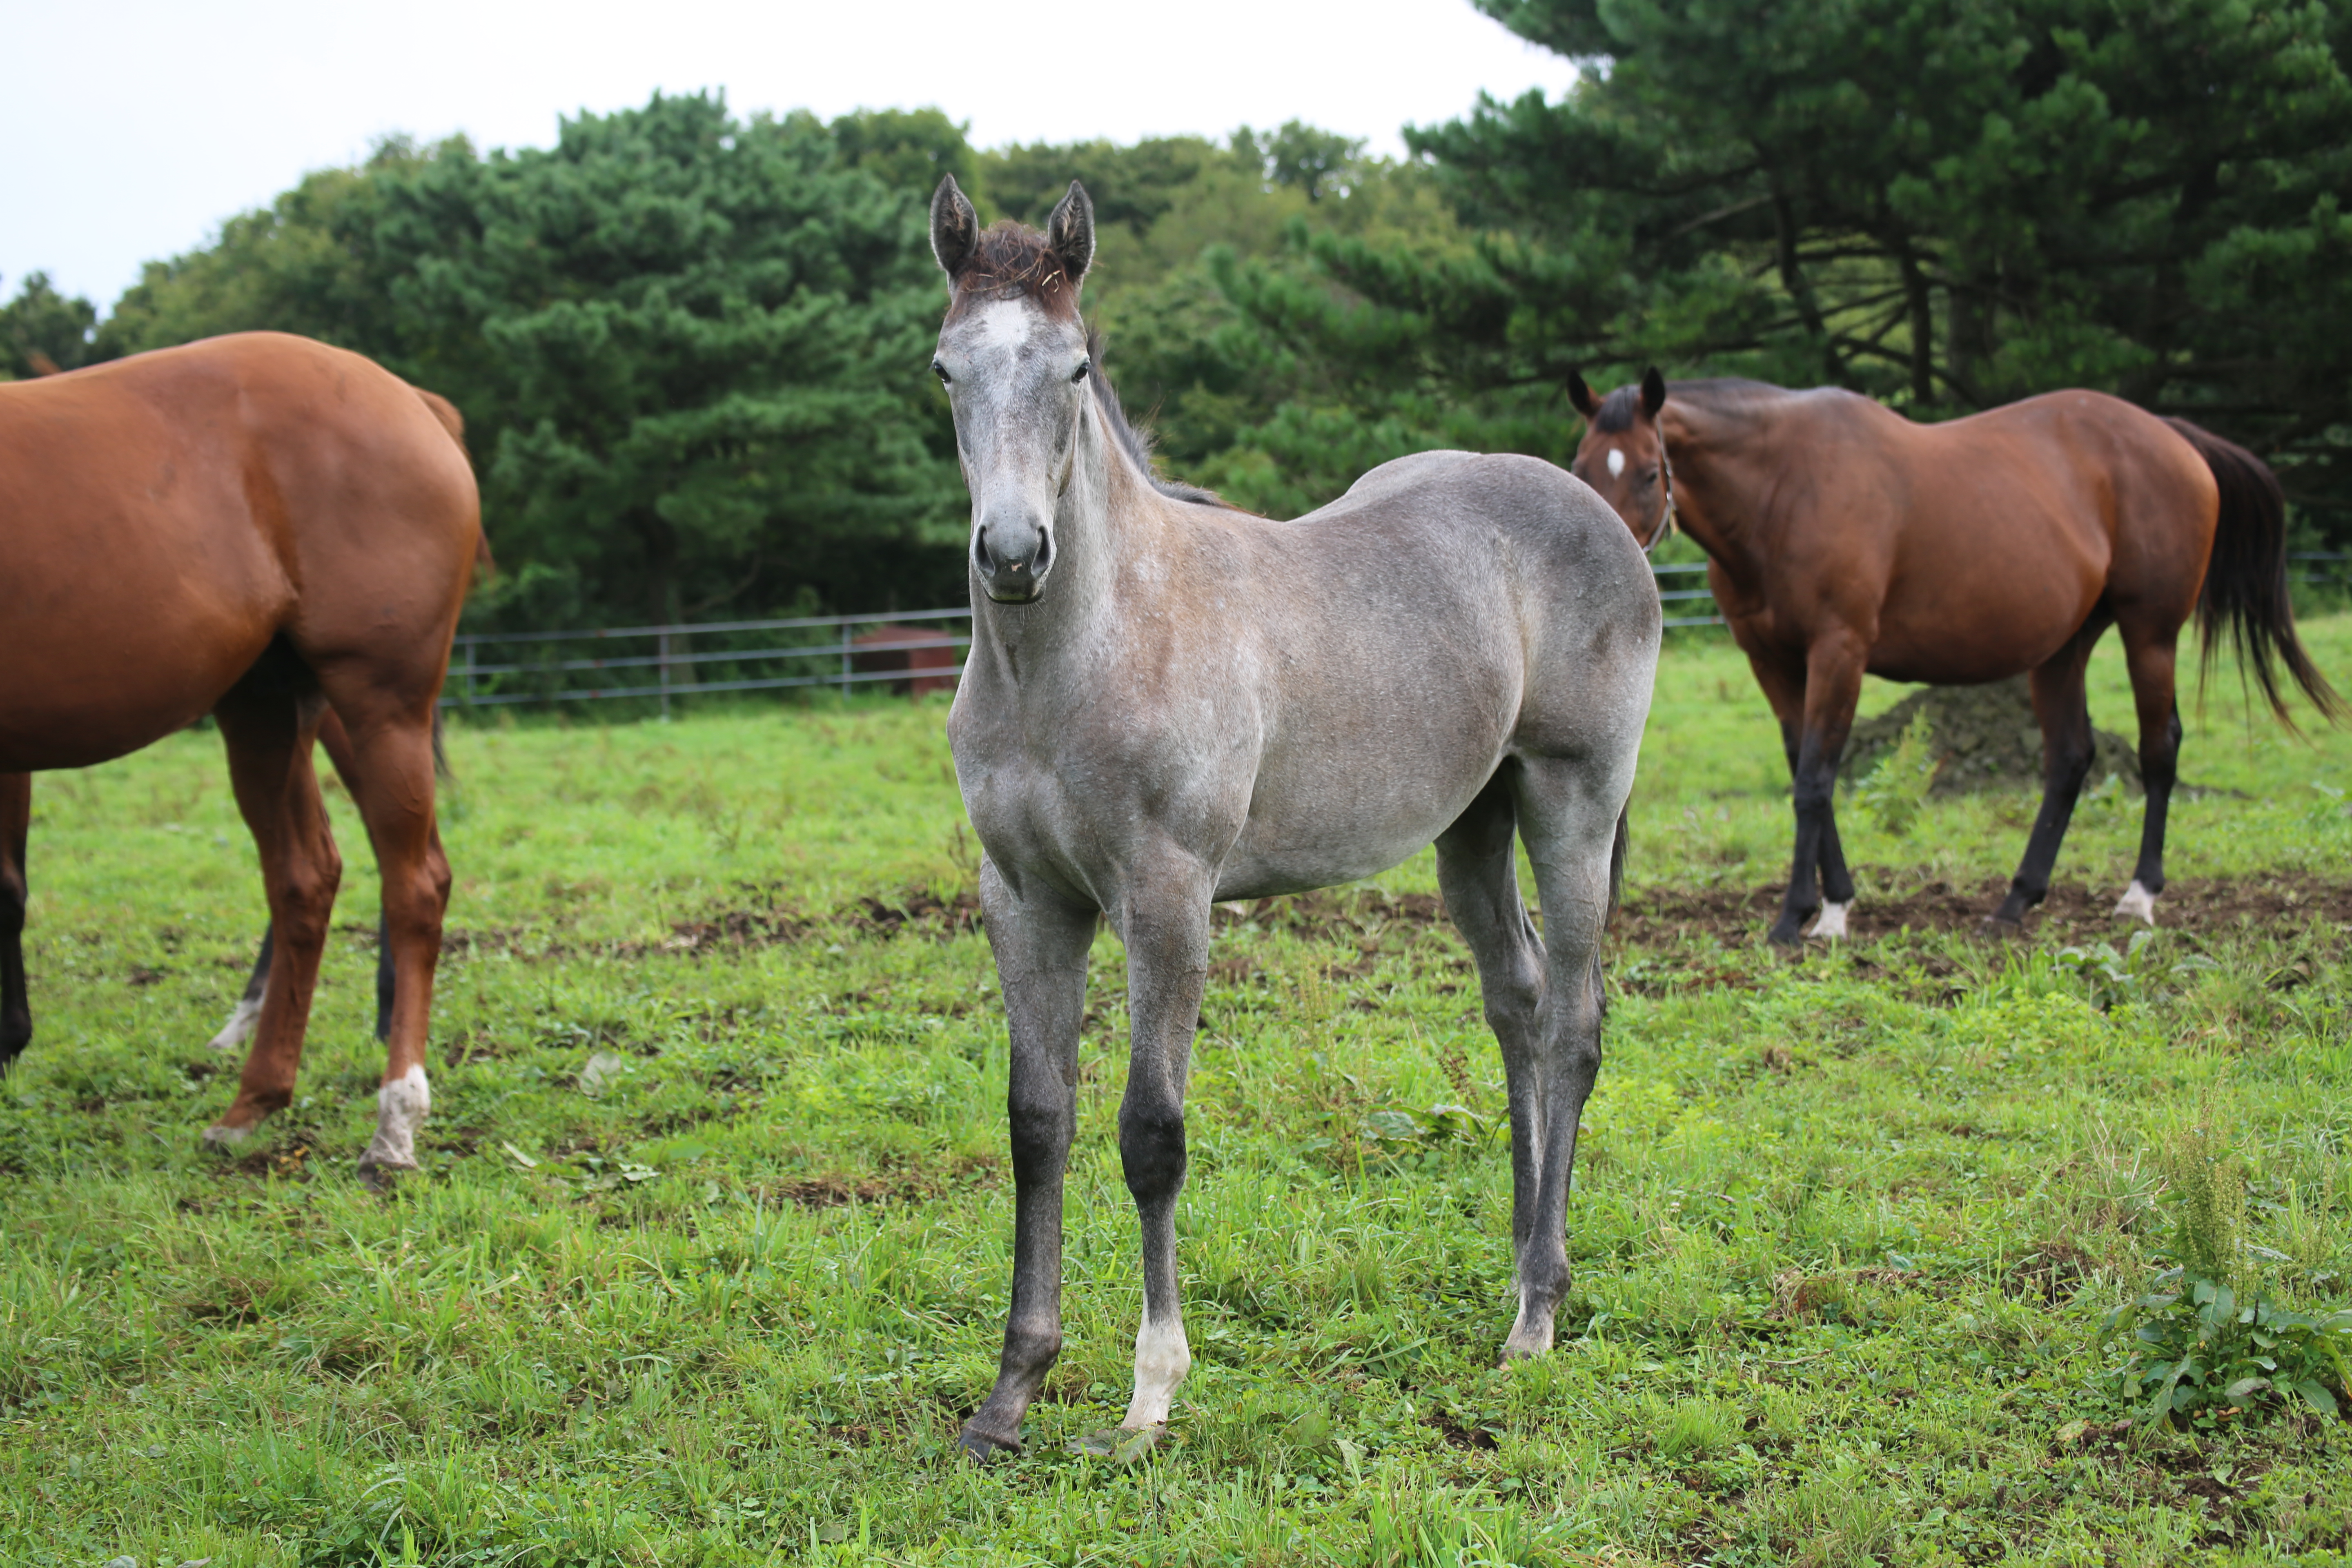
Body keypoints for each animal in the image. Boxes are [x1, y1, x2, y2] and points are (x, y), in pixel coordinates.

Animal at [1, 334, 482, 1175]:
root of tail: (410, 400)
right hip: (264, 709)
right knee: (307, 879)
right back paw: (254, 1100)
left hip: (378, 704)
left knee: (414, 884)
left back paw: (394, 1122)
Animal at [927, 177, 1665, 1467]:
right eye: (945, 370)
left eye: (1075, 368)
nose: (1014, 553)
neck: (1083, 652)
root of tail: (1589, 506)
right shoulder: (1024, 897)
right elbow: (1036, 1123)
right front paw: (1010, 1395)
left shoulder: (1166, 898)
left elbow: (1149, 1133)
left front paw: (1150, 1396)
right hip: (1471, 825)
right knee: (1519, 1008)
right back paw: (1521, 1265)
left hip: (1573, 802)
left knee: (1574, 1026)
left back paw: (1535, 1316)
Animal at [1561, 374, 2333, 949]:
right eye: (1579, 468)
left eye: (1652, 472)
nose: (1599, 565)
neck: (1785, 488)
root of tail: (2173, 436)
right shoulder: (1774, 662)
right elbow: (1806, 771)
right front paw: (1835, 904)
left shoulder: (1840, 650)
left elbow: (1815, 779)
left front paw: (1799, 918)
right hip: (2063, 649)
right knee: (2070, 758)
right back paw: (2016, 902)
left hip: (2152, 633)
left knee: (2158, 749)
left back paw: (2139, 896)